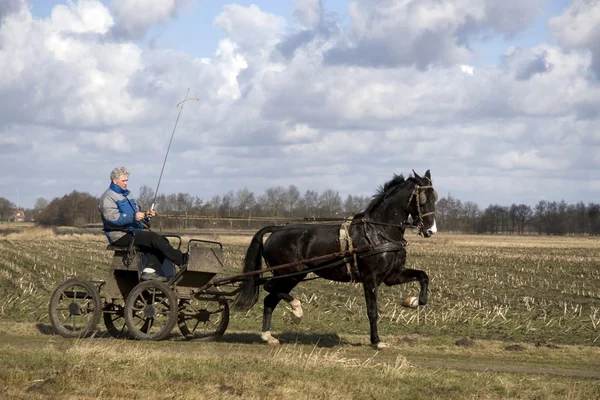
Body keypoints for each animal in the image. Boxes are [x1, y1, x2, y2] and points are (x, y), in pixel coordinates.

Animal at [233, 170, 436, 348]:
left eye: (435, 197)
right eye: (423, 199)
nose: (430, 230)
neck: (379, 231)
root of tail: (276, 230)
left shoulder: (392, 276)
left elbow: (423, 276)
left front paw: (413, 301)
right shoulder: (370, 279)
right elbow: (372, 311)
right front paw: (376, 341)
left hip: (292, 276)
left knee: (270, 298)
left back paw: (269, 336)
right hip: (288, 273)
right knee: (269, 288)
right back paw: (297, 310)